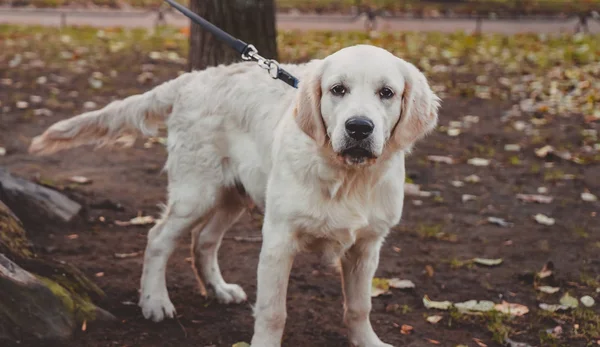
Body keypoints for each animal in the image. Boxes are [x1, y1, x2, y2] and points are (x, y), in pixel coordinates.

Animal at [28, 44, 440, 346]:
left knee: (204, 240)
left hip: (235, 194)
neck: (347, 177)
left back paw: (218, 289)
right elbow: (273, 311)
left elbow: (359, 307)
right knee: (158, 237)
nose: (359, 128)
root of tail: (193, 79)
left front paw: (368, 341)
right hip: (197, 191)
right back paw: (155, 302)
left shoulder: (367, 247)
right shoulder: (278, 240)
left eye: (387, 93)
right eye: (338, 90)